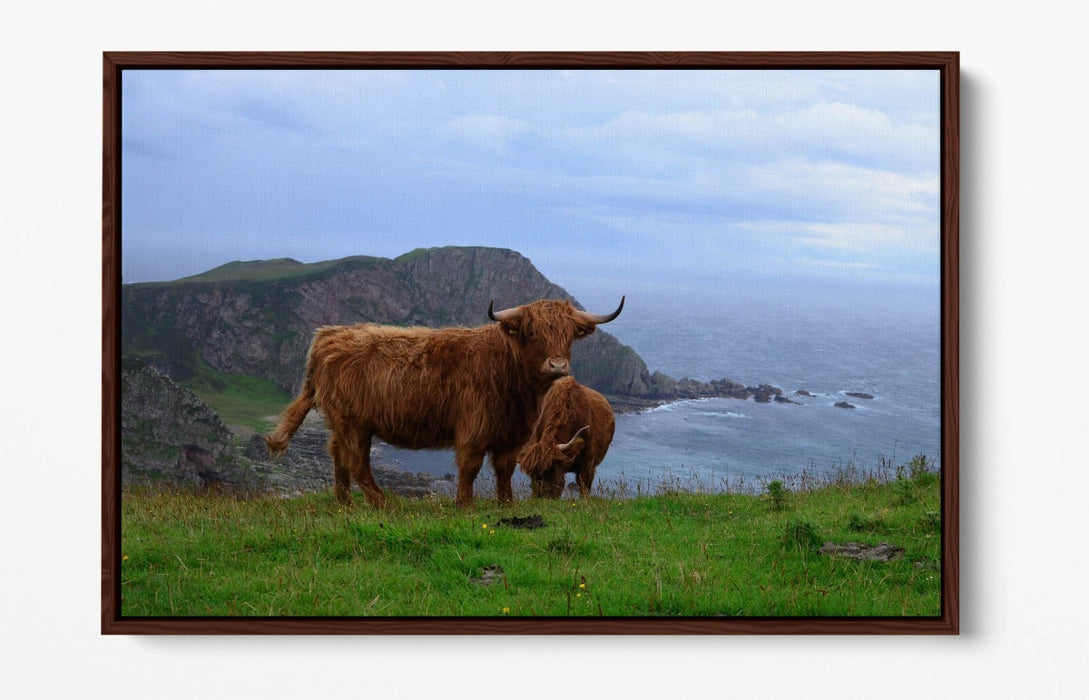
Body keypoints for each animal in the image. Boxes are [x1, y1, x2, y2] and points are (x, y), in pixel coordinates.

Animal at [264, 297, 624, 508]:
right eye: (532, 332)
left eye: (568, 334)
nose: (558, 365)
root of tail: (328, 335)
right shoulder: (474, 429)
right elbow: (470, 468)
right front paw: (464, 506)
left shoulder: (512, 436)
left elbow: (504, 471)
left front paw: (506, 505)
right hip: (354, 423)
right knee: (356, 462)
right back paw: (384, 505)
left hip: (342, 422)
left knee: (337, 455)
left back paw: (344, 504)